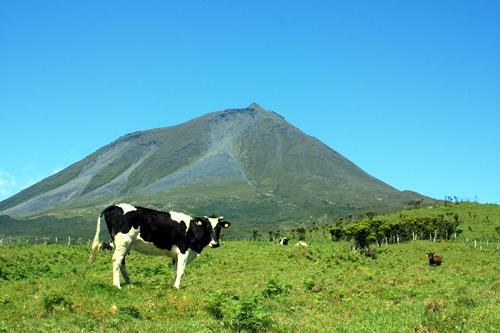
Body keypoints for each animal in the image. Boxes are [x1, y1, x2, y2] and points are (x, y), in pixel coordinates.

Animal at [88, 202, 230, 288]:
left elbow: (175, 271)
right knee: (117, 260)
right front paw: (177, 287)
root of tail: (115, 206)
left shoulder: (175, 254)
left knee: (122, 262)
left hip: (120, 244)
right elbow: (181, 270)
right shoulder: (184, 250)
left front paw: (173, 285)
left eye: (219, 228)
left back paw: (129, 282)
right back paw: (117, 285)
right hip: (123, 241)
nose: (215, 243)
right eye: (207, 227)